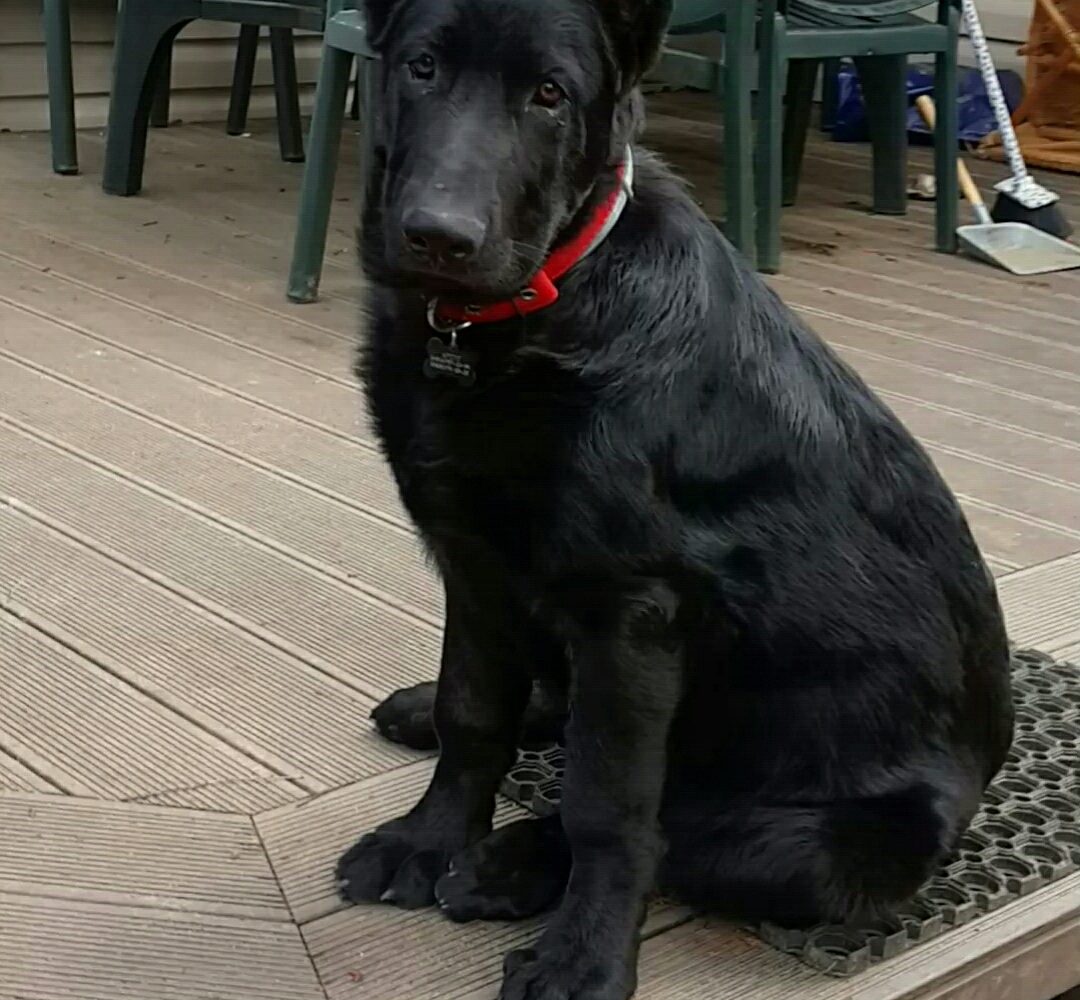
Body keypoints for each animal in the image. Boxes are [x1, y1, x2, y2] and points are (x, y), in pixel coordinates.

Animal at [335, 2, 1015, 997]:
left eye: (550, 94)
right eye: (422, 66)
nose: (438, 238)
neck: (536, 313)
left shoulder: (631, 618)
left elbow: (612, 806)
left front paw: (583, 951)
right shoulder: (475, 561)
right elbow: (474, 713)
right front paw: (429, 838)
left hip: (840, 846)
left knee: (690, 826)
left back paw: (512, 865)